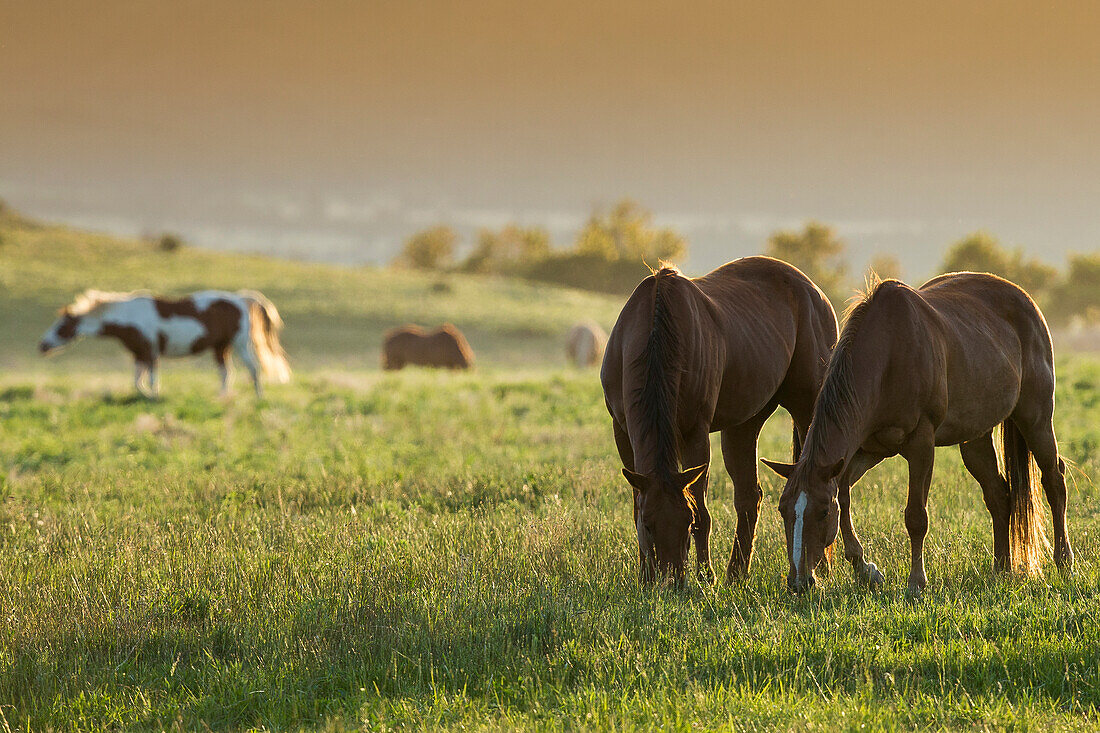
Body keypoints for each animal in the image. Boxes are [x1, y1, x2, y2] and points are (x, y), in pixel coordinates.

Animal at [39, 288, 292, 396]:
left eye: (61, 327)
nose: (42, 346)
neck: (128, 316)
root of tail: (240, 299)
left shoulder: (150, 351)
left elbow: (150, 380)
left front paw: (154, 397)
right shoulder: (138, 354)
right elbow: (137, 382)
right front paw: (145, 396)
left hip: (239, 343)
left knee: (253, 369)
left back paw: (258, 397)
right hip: (221, 347)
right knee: (226, 373)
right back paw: (221, 397)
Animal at [598, 256, 836, 581]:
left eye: (686, 521)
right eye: (649, 524)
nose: (672, 580)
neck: (656, 327)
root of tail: (815, 292)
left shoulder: (694, 433)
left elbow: (703, 509)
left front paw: (705, 577)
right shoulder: (621, 431)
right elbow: (636, 504)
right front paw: (645, 576)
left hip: (806, 406)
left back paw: (819, 566)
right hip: (743, 424)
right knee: (749, 496)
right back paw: (736, 573)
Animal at [765, 272, 1073, 594]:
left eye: (823, 512)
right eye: (783, 510)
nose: (799, 582)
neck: (887, 357)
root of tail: (1026, 301)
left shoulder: (921, 445)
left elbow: (916, 516)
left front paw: (916, 582)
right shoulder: (867, 449)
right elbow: (845, 494)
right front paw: (866, 569)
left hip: (1035, 417)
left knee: (1054, 479)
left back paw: (1064, 562)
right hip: (975, 437)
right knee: (998, 494)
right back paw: (1001, 568)